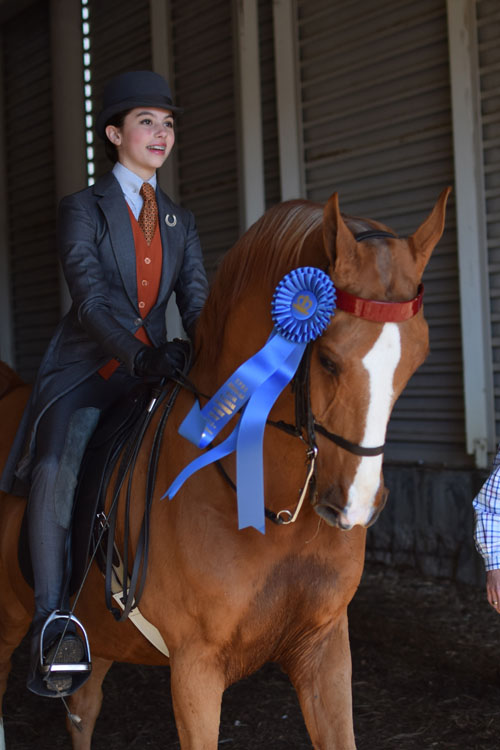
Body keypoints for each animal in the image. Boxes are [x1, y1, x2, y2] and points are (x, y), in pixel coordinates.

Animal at [0, 191, 450, 748]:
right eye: (326, 358)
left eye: (416, 359)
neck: (272, 514)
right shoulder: (196, 671)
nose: (356, 504)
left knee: (82, 708)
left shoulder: (324, 648)